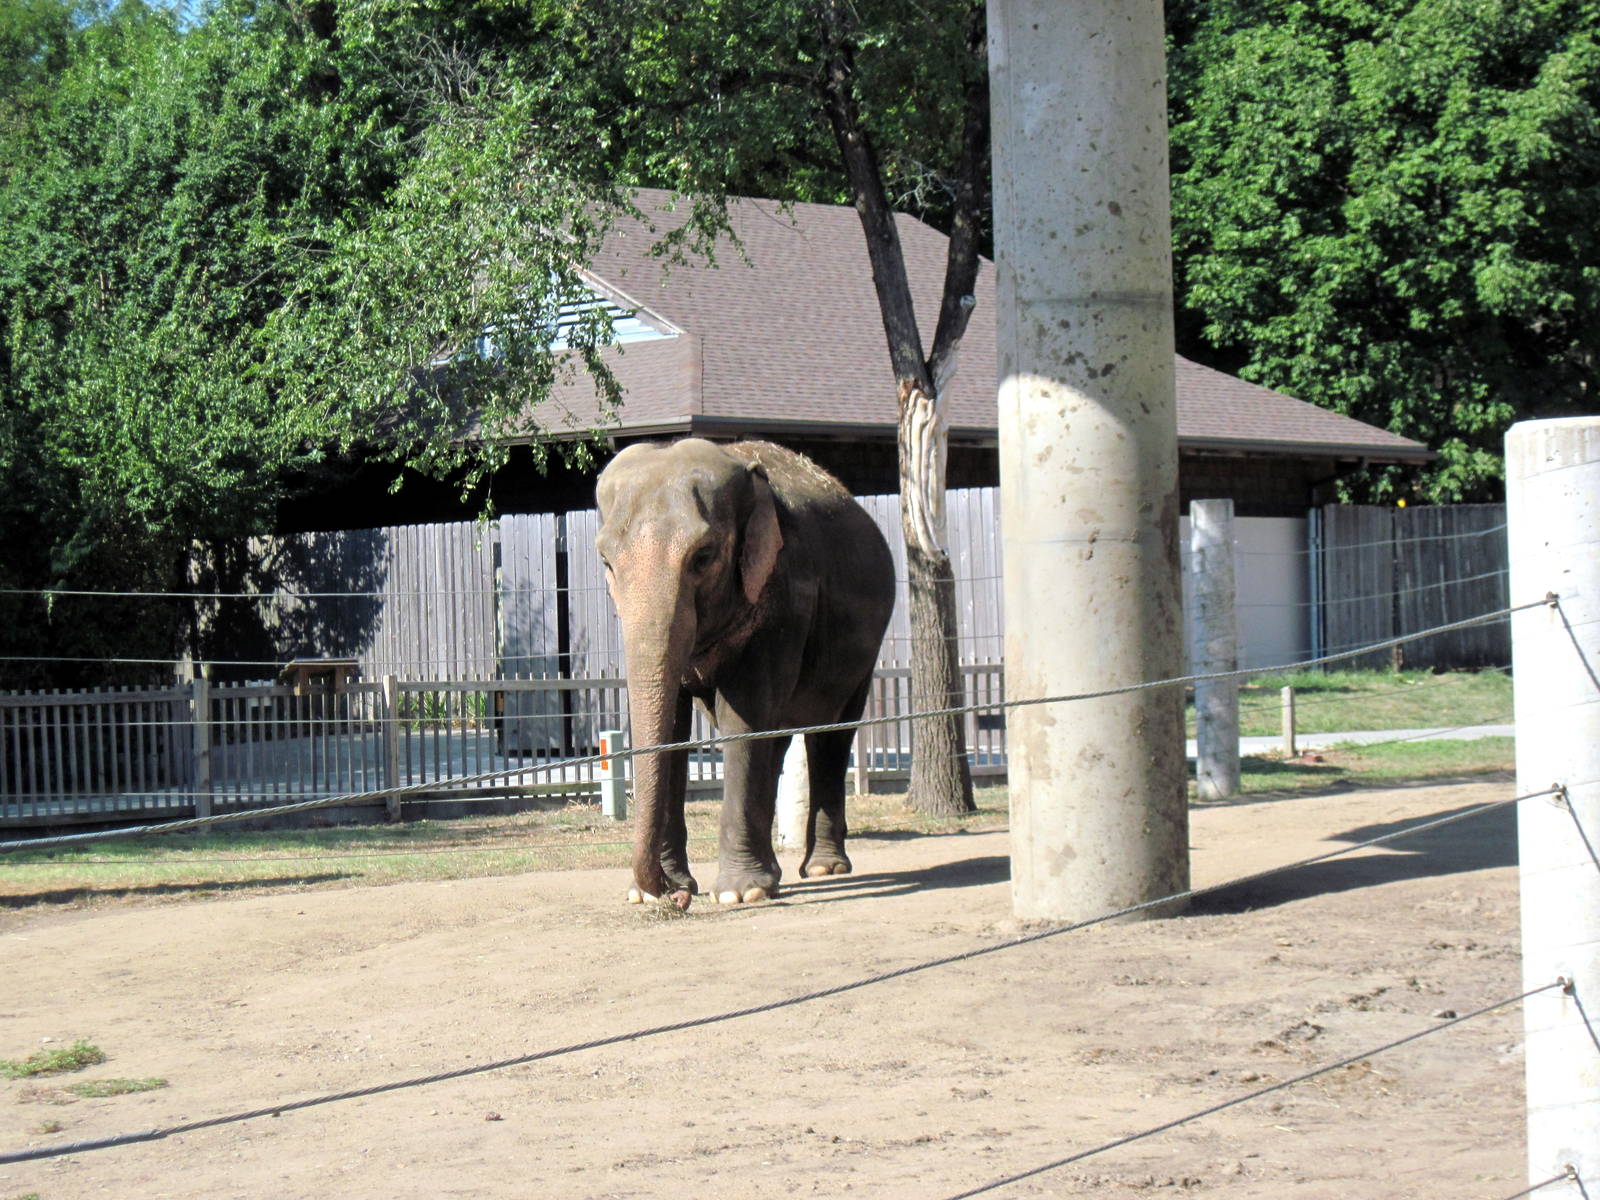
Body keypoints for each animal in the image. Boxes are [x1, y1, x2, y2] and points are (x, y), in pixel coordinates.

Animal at [595, 437, 896, 909]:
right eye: (606, 561)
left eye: (703, 557)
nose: (674, 899)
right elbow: (676, 728)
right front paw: (651, 893)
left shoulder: (783, 599)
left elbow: (743, 720)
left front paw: (740, 893)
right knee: (776, 743)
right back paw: (779, 873)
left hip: (864, 650)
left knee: (831, 733)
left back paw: (822, 869)